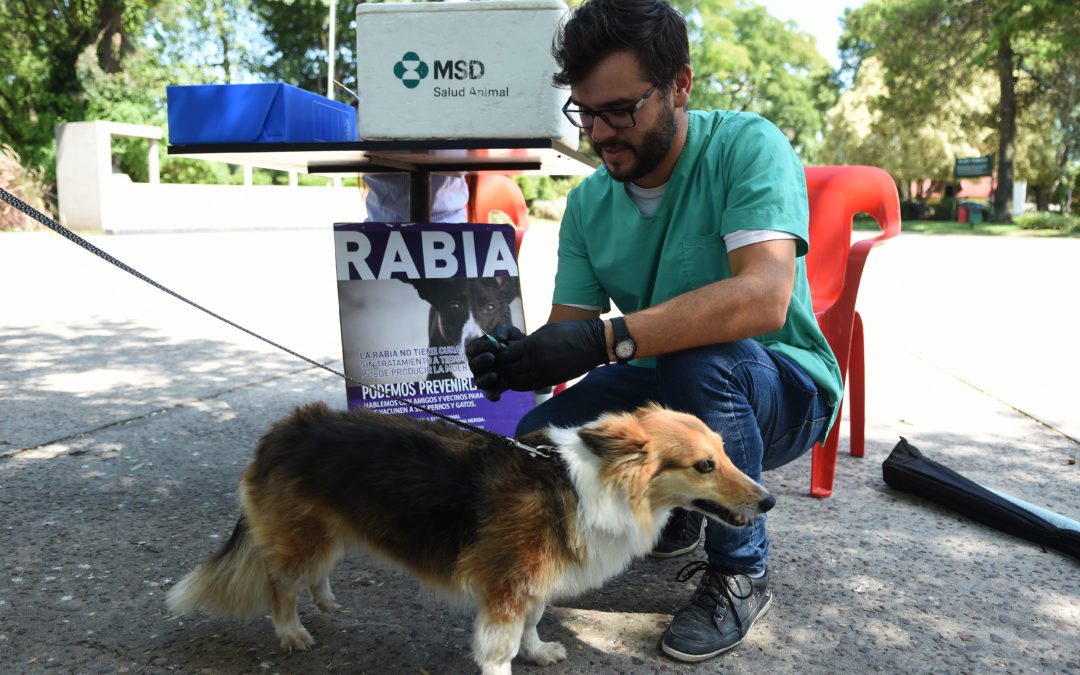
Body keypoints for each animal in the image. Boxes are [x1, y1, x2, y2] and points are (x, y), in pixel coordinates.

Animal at [166, 401, 777, 669]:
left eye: (725, 453)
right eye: (703, 466)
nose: (768, 501)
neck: (592, 484)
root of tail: (280, 432)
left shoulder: (533, 584)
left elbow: (534, 623)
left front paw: (539, 651)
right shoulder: (507, 588)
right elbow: (499, 647)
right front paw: (512, 663)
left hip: (331, 531)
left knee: (315, 575)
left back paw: (328, 602)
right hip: (303, 538)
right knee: (280, 584)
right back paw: (292, 631)